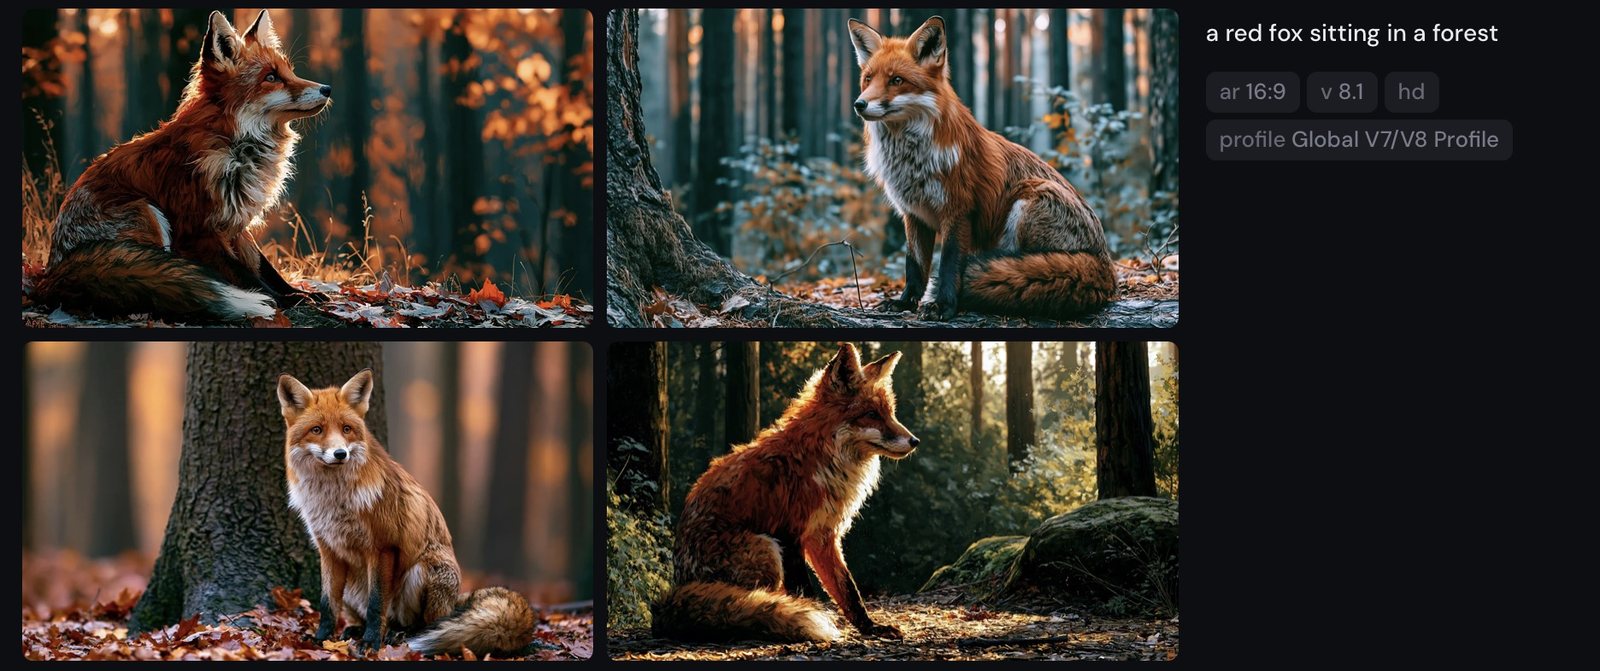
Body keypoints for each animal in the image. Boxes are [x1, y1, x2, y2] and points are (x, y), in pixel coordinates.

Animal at [33, 10, 328, 322]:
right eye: (271, 77)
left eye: (289, 71)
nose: (327, 89)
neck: (233, 145)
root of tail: (52, 274)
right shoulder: (198, 231)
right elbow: (250, 279)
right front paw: (288, 301)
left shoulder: (235, 222)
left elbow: (267, 271)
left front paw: (301, 294)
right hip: (148, 213)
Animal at [277, 369, 536, 656]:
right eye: (317, 430)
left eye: (346, 429)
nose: (340, 453)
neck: (334, 500)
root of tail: (454, 602)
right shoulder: (329, 551)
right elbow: (326, 604)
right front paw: (320, 639)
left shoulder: (382, 547)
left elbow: (376, 604)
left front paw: (370, 643)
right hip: (353, 589)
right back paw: (358, 630)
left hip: (423, 570)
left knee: (426, 622)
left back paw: (401, 634)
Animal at [652, 343, 918, 643]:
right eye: (871, 414)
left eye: (891, 413)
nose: (915, 441)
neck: (822, 461)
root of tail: (673, 596)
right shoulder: (789, 534)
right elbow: (807, 591)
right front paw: (815, 616)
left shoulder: (823, 536)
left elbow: (848, 590)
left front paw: (869, 628)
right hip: (766, 549)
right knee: (751, 599)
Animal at [848, 16, 1117, 320]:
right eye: (868, 79)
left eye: (896, 80)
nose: (859, 104)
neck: (912, 161)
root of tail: (1106, 265)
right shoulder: (913, 214)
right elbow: (914, 266)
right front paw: (905, 302)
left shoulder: (959, 211)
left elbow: (949, 263)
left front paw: (944, 305)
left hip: (1029, 198)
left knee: (1020, 265)